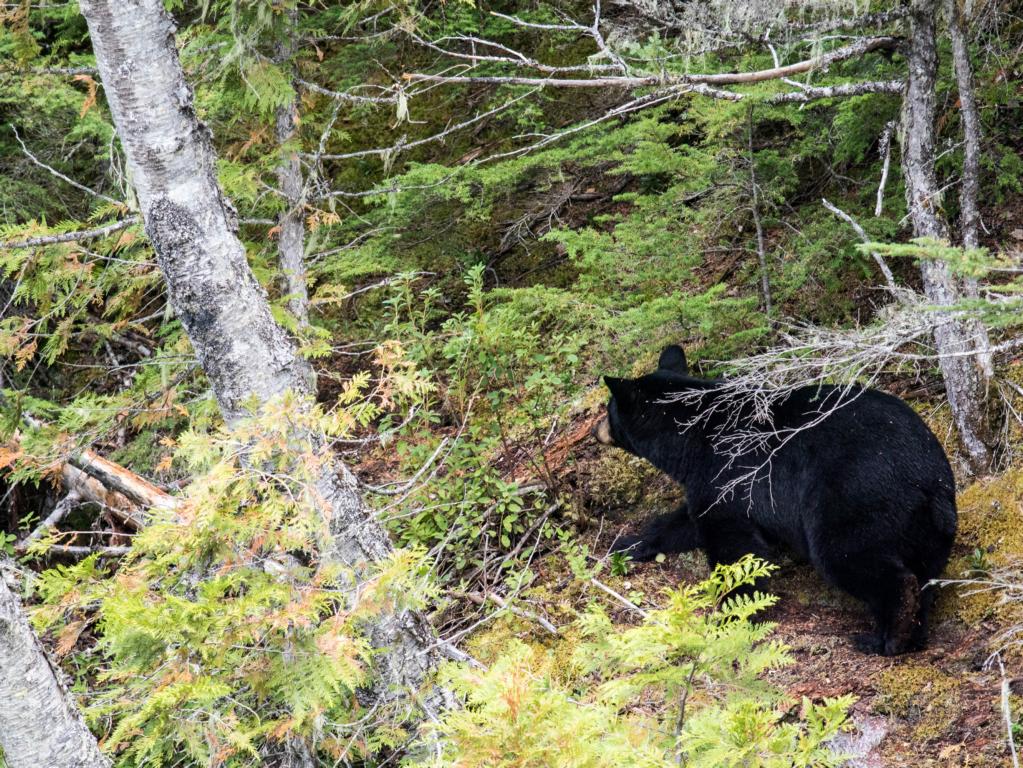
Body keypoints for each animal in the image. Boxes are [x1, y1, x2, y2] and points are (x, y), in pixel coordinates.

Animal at [597, 347, 953, 654]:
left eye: (608, 410)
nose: (595, 430)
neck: (691, 438)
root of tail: (926, 474)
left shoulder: (729, 475)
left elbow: (734, 547)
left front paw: (730, 616)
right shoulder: (708, 482)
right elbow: (684, 522)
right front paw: (626, 544)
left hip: (853, 495)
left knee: (852, 557)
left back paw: (886, 638)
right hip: (928, 524)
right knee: (926, 573)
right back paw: (913, 634)